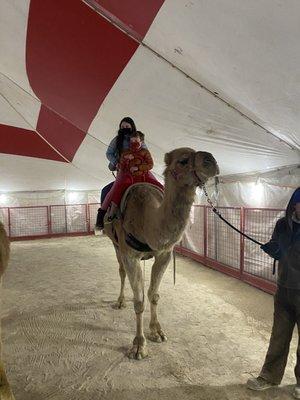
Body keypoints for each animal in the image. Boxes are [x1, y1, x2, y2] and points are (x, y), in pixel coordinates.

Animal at [105, 148, 218, 360]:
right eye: (183, 160)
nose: (212, 161)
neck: (147, 220)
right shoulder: (129, 254)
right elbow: (139, 301)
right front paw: (139, 345)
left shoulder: (164, 254)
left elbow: (153, 294)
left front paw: (156, 331)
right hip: (115, 244)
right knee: (121, 271)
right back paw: (120, 301)